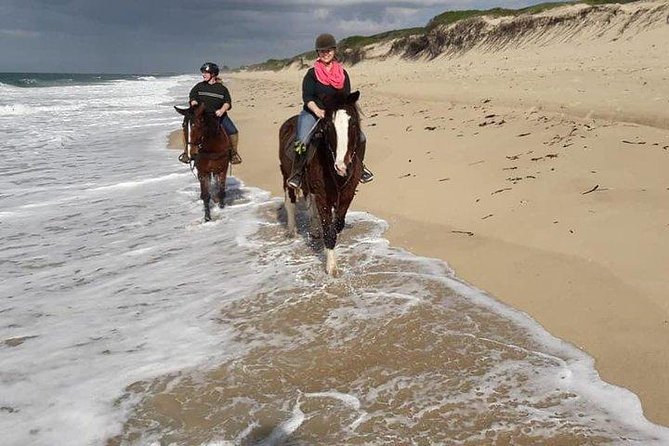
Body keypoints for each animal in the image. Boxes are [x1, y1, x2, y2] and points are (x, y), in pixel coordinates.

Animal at [279, 91, 364, 276]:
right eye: (328, 126)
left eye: (353, 123)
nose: (341, 166)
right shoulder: (323, 196)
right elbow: (329, 228)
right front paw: (331, 268)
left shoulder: (347, 195)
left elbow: (336, 225)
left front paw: (326, 249)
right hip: (287, 176)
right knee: (291, 203)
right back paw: (291, 231)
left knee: (310, 205)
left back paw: (314, 231)